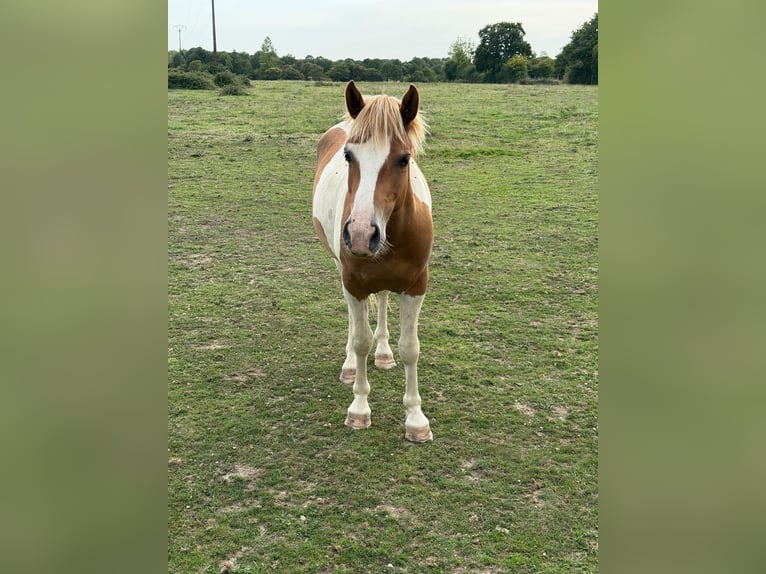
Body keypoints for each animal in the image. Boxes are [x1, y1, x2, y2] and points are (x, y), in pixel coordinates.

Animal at [312, 81, 434, 442]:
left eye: (404, 159)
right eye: (348, 156)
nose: (361, 234)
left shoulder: (416, 286)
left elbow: (410, 348)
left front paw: (416, 420)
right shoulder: (353, 283)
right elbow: (360, 340)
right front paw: (359, 409)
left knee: (380, 299)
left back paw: (383, 353)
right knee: (357, 324)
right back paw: (351, 366)